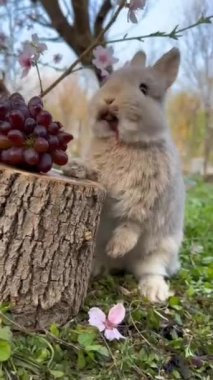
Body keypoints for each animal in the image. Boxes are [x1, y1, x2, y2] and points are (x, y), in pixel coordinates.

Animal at [62, 47, 185, 302]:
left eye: (144, 89)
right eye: (109, 81)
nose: (109, 99)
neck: (124, 144)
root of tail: (123, 266)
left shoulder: (149, 197)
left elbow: (134, 221)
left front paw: (117, 246)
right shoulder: (105, 179)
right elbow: (94, 174)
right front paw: (74, 168)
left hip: (162, 248)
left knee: (151, 270)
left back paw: (154, 291)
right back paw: (97, 267)